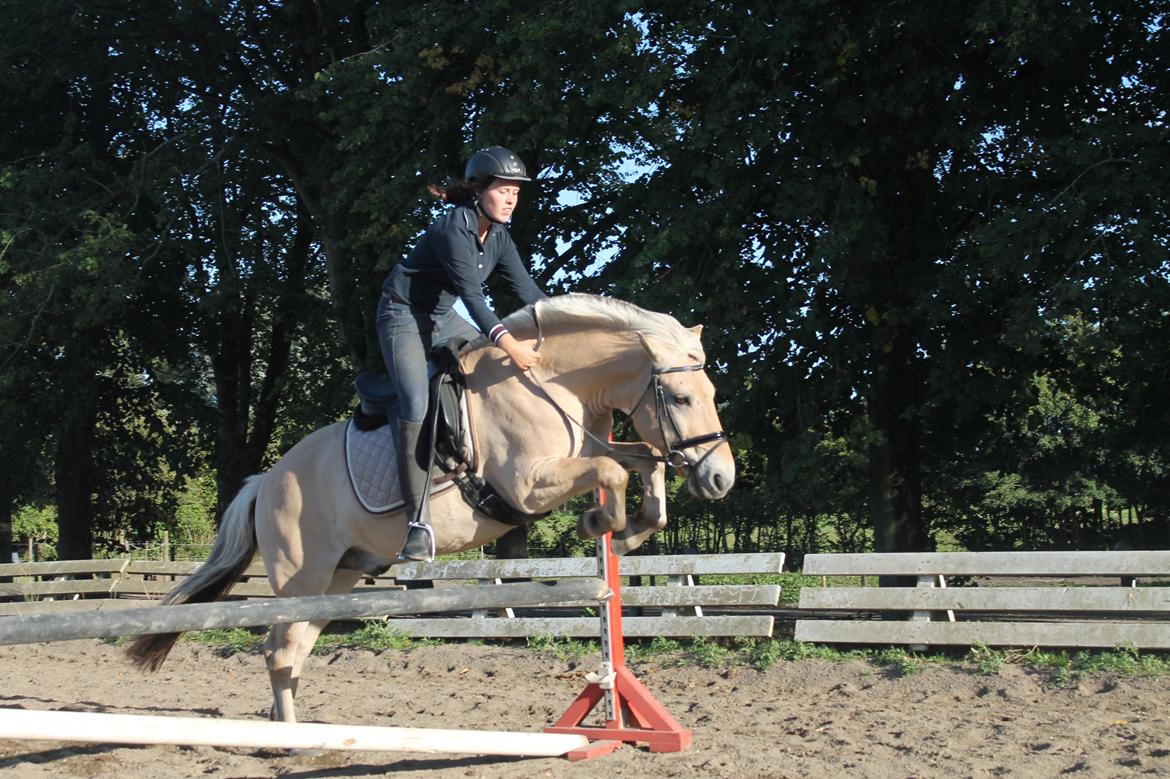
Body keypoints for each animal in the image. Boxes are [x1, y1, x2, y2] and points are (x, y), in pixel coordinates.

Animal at [128, 293, 736, 724]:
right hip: (303, 577)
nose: (721, 478)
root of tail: (267, 481)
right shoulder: (527, 486)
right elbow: (614, 472)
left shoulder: (591, 452)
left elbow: (644, 461)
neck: (549, 383)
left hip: (338, 578)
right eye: (681, 398)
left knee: (292, 652)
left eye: (709, 394)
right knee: (278, 652)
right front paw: (601, 523)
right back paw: (290, 741)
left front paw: (632, 531)